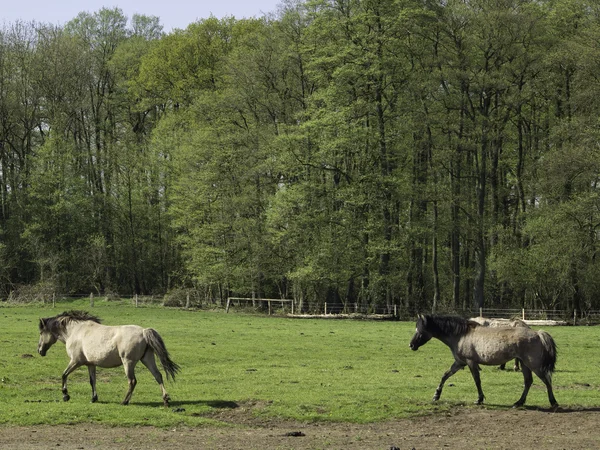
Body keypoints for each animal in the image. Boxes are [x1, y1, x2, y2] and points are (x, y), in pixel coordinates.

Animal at [36, 312, 178, 406]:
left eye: (41, 333)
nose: (40, 351)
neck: (75, 331)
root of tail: (143, 331)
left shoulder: (76, 361)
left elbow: (64, 375)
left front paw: (65, 395)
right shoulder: (90, 364)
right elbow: (92, 381)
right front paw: (94, 398)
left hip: (128, 362)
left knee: (132, 381)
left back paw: (124, 401)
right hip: (147, 359)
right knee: (158, 376)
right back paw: (165, 399)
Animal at [408, 316, 556, 408]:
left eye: (420, 330)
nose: (411, 345)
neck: (461, 335)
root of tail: (537, 333)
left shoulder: (471, 362)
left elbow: (477, 380)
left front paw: (479, 399)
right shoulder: (459, 363)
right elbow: (445, 376)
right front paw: (436, 395)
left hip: (533, 365)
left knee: (547, 380)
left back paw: (553, 402)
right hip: (524, 364)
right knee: (528, 381)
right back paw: (518, 402)